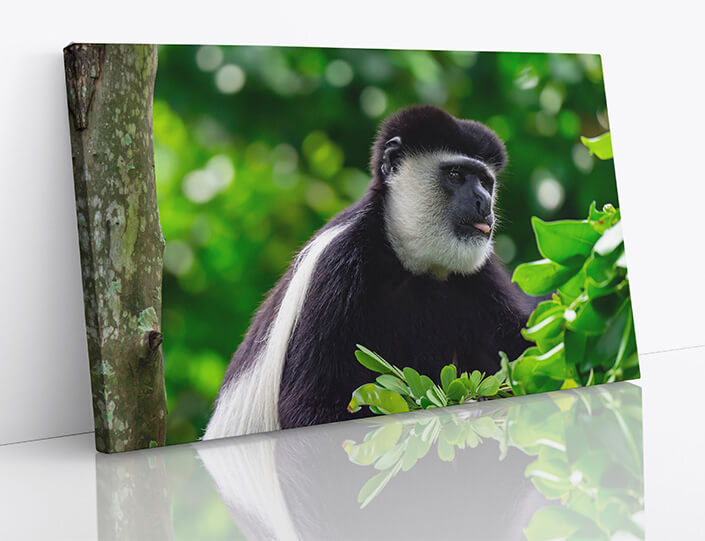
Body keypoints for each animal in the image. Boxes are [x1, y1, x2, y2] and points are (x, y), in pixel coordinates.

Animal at [203, 105, 538, 440]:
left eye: (485, 181)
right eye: (456, 175)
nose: (484, 202)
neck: (409, 262)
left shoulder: (479, 272)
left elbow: (521, 346)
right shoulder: (338, 267)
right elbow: (309, 407)